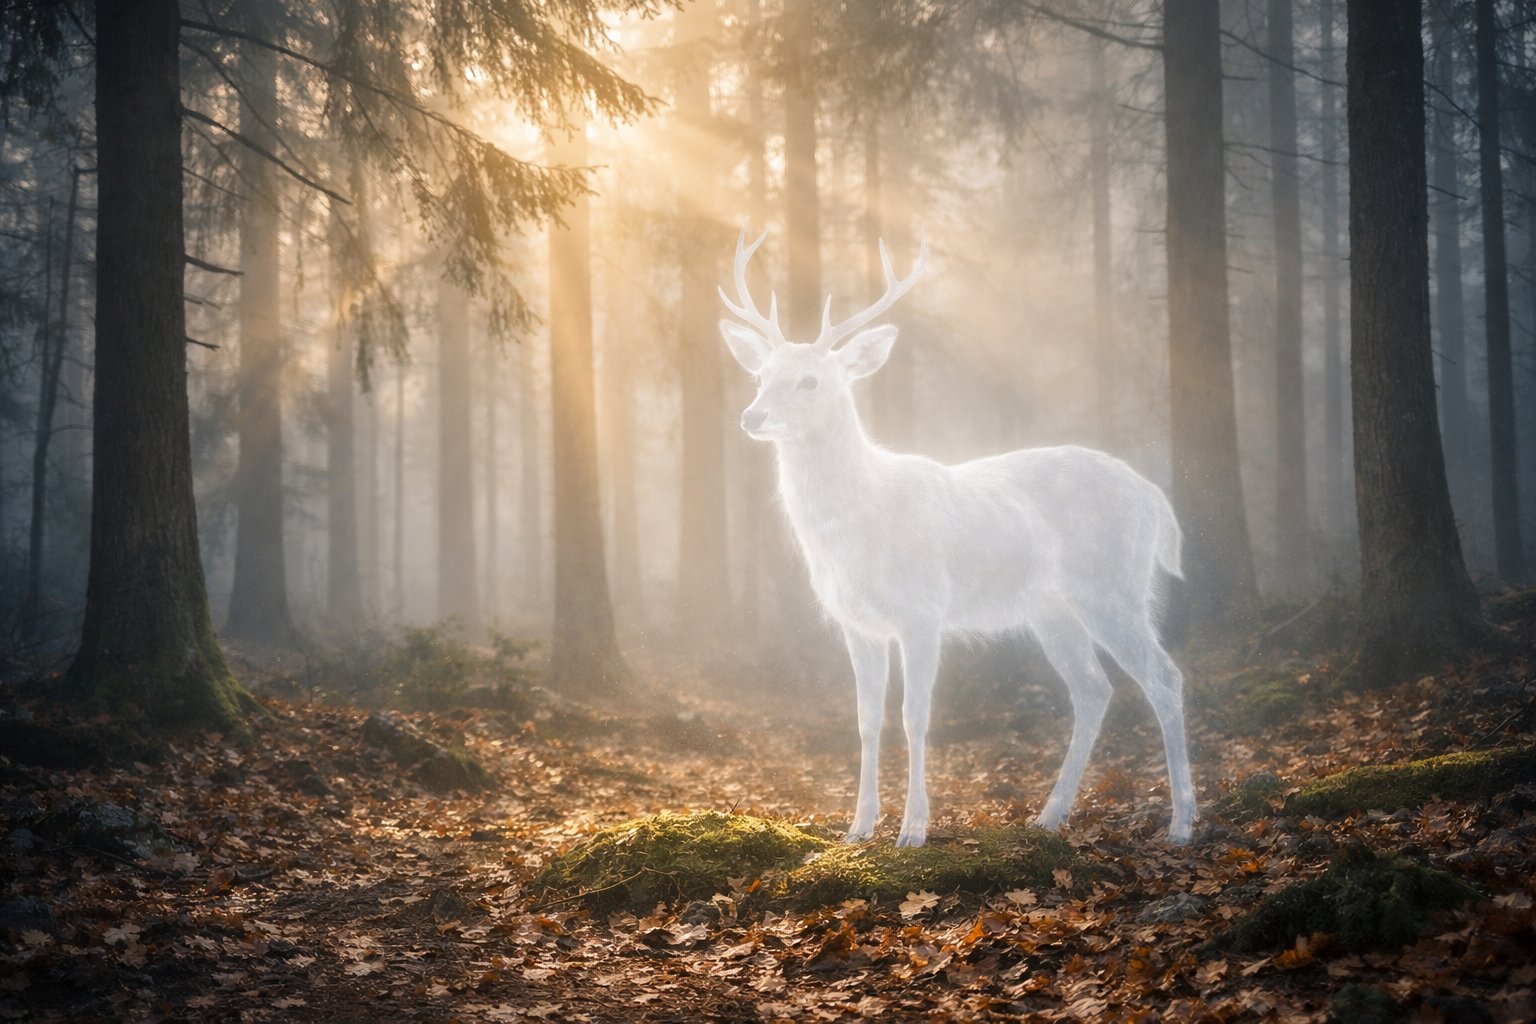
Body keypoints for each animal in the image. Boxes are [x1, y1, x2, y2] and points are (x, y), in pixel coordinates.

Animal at [718, 224, 1197, 847]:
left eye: (811, 380)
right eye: (760, 375)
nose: (752, 416)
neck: (858, 526)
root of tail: (1156, 500)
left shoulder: (923, 610)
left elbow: (914, 715)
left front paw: (913, 829)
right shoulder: (857, 623)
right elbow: (866, 720)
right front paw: (857, 828)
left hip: (1113, 586)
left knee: (1164, 677)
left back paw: (1182, 824)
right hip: (1052, 609)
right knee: (1094, 688)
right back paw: (1049, 816)